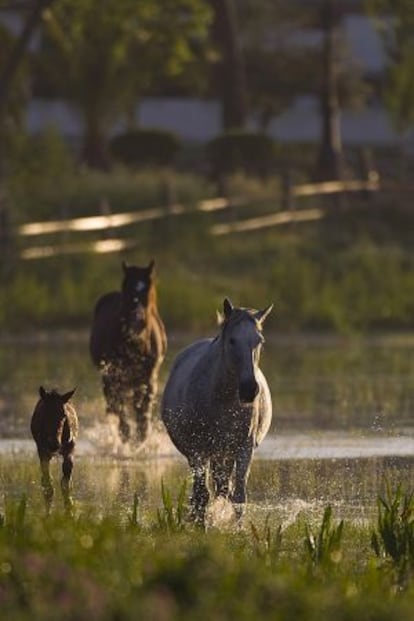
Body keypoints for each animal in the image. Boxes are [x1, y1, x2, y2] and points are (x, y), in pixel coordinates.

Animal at [90, 260, 167, 444]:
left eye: (148, 289)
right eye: (127, 289)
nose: (137, 320)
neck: (135, 344)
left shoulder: (148, 378)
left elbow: (143, 410)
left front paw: (140, 438)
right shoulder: (113, 376)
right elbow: (120, 410)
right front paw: (128, 438)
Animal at [161, 298, 272, 520]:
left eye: (260, 341)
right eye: (232, 341)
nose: (249, 389)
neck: (223, 400)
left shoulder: (243, 448)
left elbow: (238, 497)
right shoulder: (198, 450)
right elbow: (202, 496)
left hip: (223, 454)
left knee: (223, 488)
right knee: (203, 492)